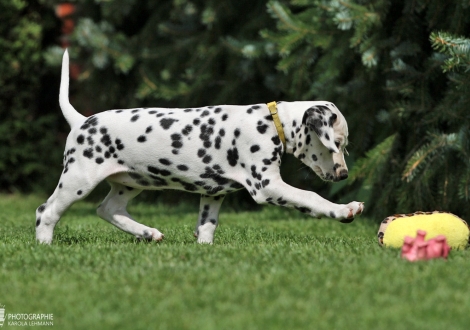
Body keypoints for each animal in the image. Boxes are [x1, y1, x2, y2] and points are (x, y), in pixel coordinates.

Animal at [35, 49, 364, 245]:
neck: (271, 121)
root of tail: (81, 121)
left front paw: (204, 251)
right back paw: (44, 244)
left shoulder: (213, 192)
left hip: (131, 182)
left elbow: (207, 226)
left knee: (107, 209)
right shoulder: (267, 186)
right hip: (79, 179)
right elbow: (311, 197)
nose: (344, 175)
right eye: (336, 143)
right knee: (46, 211)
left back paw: (147, 233)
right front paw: (344, 209)